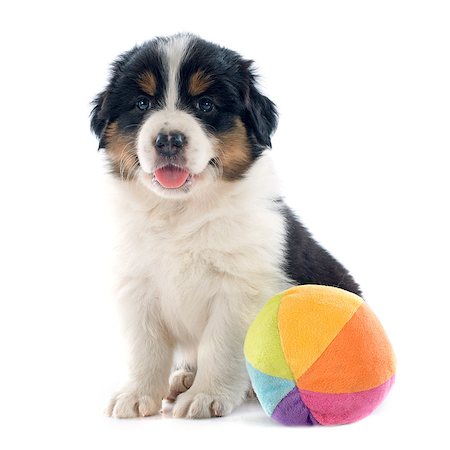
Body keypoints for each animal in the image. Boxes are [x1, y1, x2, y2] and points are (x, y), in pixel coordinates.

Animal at [89, 33, 360, 420]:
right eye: (142, 103)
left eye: (205, 105)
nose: (168, 140)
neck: (181, 213)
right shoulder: (138, 286)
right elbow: (146, 348)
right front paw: (138, 394)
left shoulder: (238, 292)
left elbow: (219, 347)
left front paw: (206, 397)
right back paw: (183, 378)